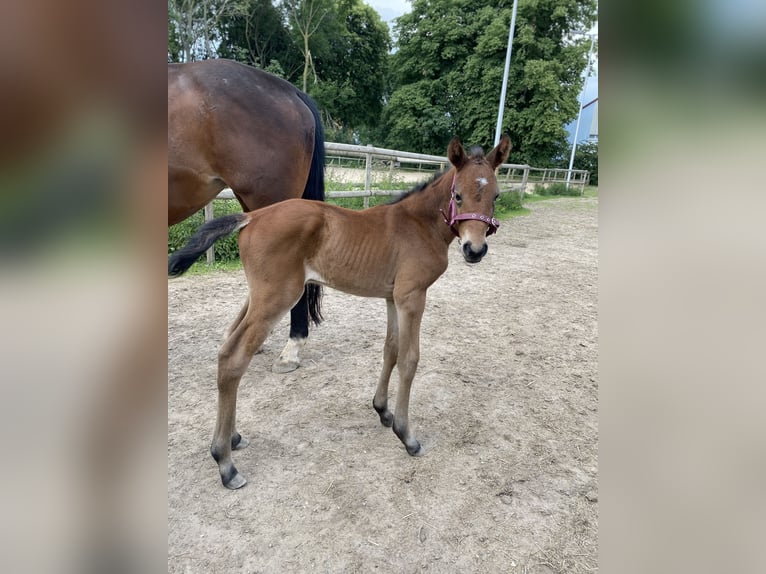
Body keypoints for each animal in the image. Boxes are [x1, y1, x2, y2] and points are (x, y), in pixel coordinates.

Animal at [169, 135, 512, 489]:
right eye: (458, 195)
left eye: (496, 195)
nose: (475, 250)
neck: (419, 224)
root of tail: (254, 216)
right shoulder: (412, 297)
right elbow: (409, 359)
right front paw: (407, 435)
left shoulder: (393, 298)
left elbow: (390, 350)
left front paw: (383, 411)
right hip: (277, 297)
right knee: (233, 357)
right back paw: (226, 463)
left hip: (260, 296)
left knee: (227, 347)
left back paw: (233, 439)